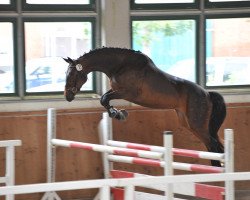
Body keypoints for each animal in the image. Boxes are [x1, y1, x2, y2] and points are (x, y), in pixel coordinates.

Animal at [64, 47, 227, 167]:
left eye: (72, 75)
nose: (67, 96)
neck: (120, 65)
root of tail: (207, 93)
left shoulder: (127, 93)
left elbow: (104, 98)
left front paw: (117, 114)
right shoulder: (117, 90)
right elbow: (104, 99)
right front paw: (118, 113)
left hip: (196, 124)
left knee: (213, 144)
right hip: (188, 123)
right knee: (212, 145)